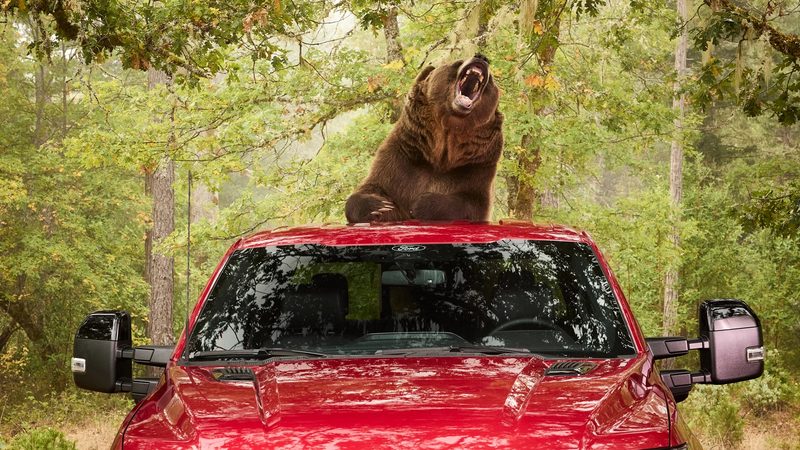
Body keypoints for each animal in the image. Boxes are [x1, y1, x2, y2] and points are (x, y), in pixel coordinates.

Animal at [345, 54, 503, 223]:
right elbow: (373, 187)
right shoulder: (403, 156)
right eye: (458, 62)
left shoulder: (475, 165)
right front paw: (378, 205)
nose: (481, 57)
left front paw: (423, 203)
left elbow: (473, 203)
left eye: (491, 79)